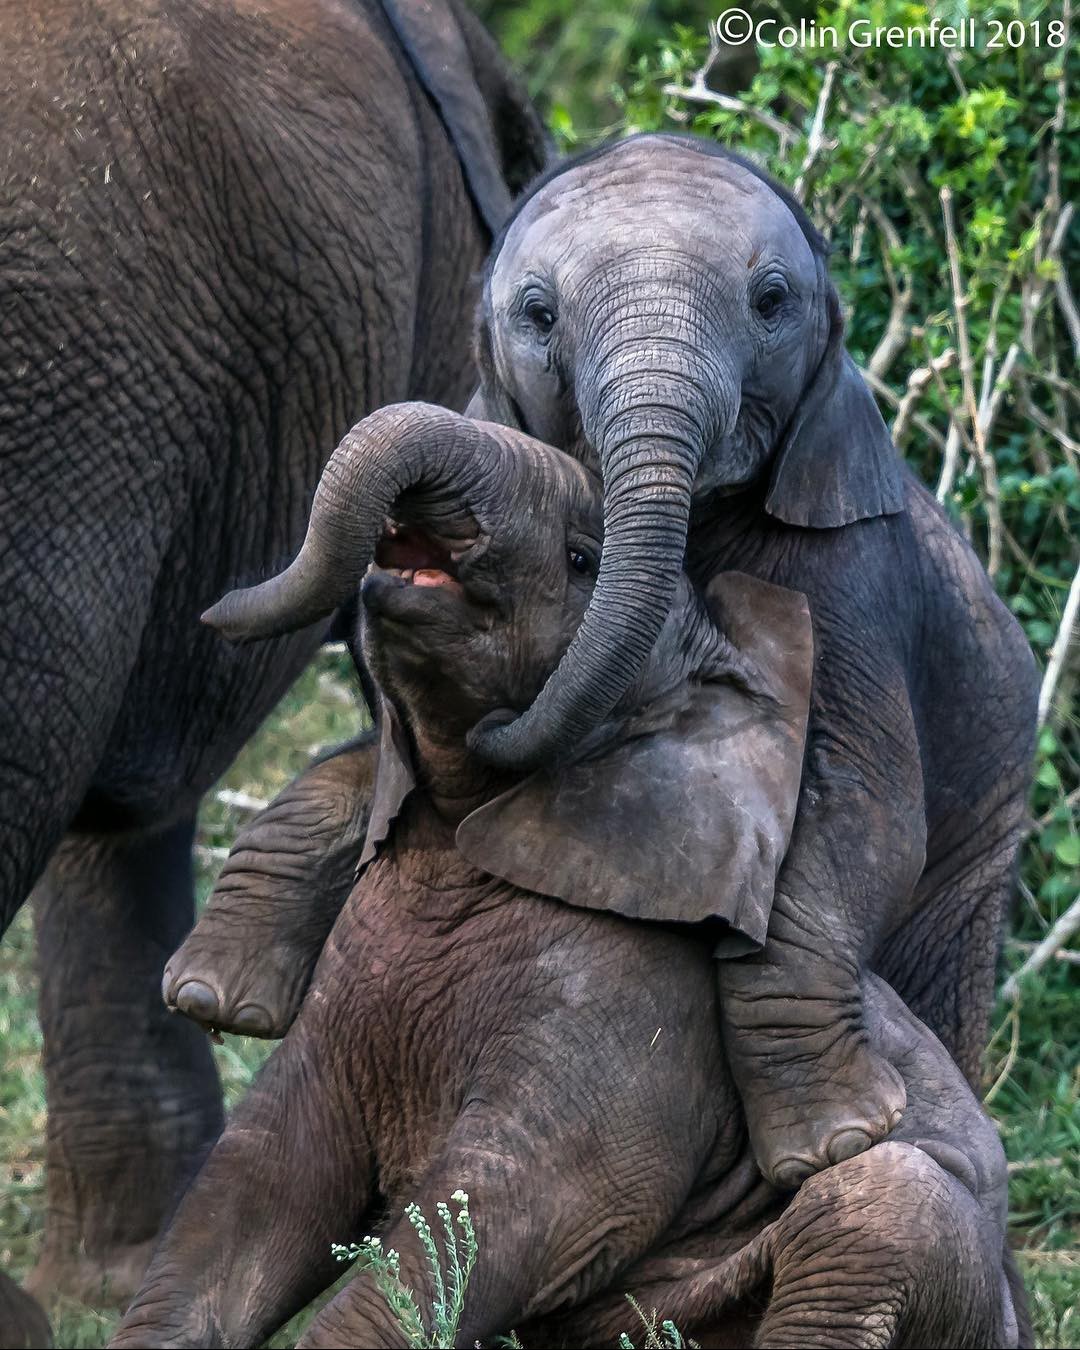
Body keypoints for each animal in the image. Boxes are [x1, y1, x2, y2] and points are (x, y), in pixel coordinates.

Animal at [120, 402, 1020, 1350]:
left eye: (583, 559)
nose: (208, 610)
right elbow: (261, 1180)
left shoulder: (640, 1010)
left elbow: (518, 1205)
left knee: (879, 1204)